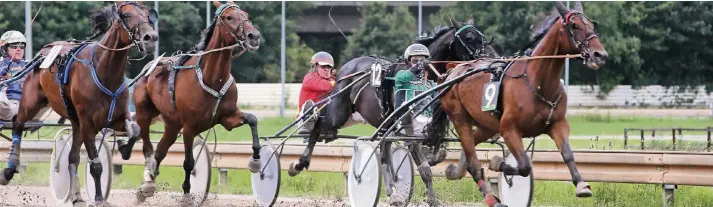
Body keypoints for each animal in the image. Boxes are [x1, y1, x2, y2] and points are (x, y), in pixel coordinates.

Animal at [0, 0, 157, 205]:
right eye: (126, 15)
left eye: (147, 15)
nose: (151, 37)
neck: (104, 71)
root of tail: (43, 52)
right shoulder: (87, 123)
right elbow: (96, 165)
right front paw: (99, 198)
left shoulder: (116, 117)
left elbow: (135, 130)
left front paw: (125, 149)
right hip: (31, 101)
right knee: (18, 123)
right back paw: (9, 170)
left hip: (74, 121)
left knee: (72, 158)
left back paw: (77, 197)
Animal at [122, 0, 262, 201]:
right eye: (229, 17)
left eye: (246, 14)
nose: (254, 36)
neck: (212, 78)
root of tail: (148, 68)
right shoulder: (189, 127)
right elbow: (188, 162)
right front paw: (187, 194)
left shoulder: (227, 117)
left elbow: (252, 119)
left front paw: (256, 161)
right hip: (144, 112)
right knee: (147, 142)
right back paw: (146, 182)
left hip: (172, 124)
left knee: (160, 151)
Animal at [290, 17, 496, 206]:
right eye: (469, 37)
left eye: (482, 35)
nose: (493, 56)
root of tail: (347, 69)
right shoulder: (407, 126)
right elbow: (424, 168)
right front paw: (432, 198)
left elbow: (437, 149)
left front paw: (433, 159)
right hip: (339, 114)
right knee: (319, 126)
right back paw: (300, 162)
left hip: (383, 124)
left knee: (384, 155)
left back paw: (393, 192)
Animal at [426, 2, 608, 207]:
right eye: (574, 26)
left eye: (593, 25)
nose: (600, 54)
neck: (537, 81)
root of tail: (450, 73)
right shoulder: (509, 129)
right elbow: (524, 166)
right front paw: (498, 163)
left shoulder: (557, 124)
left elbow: (568, 154)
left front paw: (581, 184)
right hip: (460, 118)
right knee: (474, 162)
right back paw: (492, 198)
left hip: (487, 124)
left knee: (471, 146)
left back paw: (455, 171)